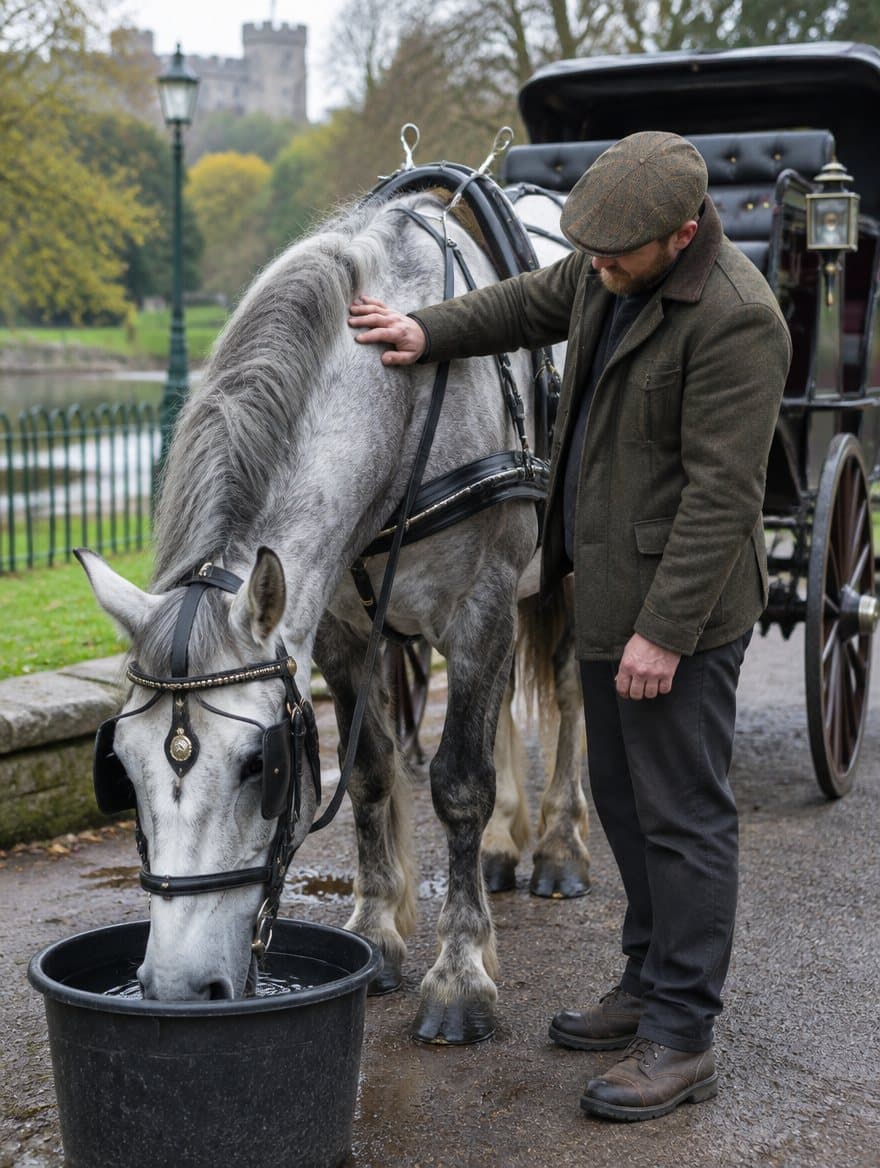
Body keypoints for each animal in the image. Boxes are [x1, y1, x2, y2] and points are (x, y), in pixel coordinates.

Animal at [78, 176, 588, 1045]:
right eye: (123, 765)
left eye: (261, 766)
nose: (178, 989)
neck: (404, 405)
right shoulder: (344, 633)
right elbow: (375, 771)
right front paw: (378, 933)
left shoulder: (481, 605)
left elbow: (458, 782)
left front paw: (460, 976)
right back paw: (502, 846)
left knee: (569, 688)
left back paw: (557, 844)